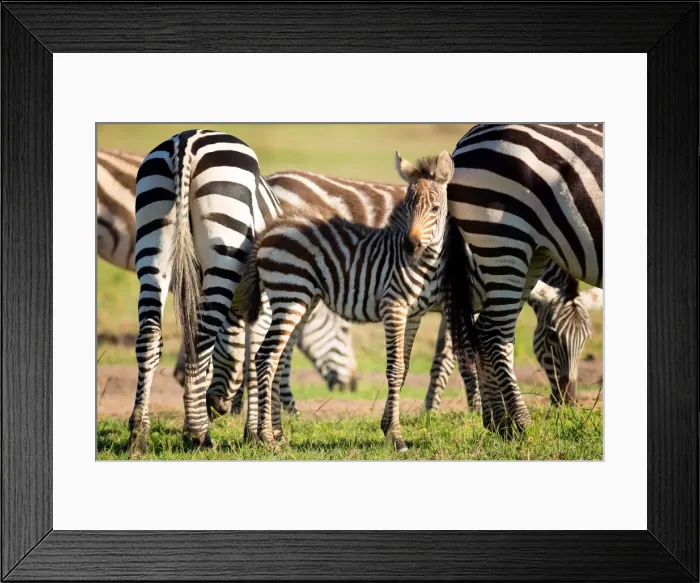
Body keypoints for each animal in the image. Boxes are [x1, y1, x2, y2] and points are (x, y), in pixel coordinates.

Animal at [128, 129, 285, 454]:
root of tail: (186, 141)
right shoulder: (261, 303)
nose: (217, 407)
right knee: (201, 338)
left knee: (150, 338)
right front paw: (258, 434)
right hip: (224, 239)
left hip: (153, 243)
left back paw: (138, 435)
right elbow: (254, 358)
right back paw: (199, 435)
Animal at [236, 150, 477, 451]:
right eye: (407, 208)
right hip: (289, 295)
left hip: (303, 300)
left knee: (278, 359)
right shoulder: (393, 307)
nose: (410, 247)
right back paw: (266, 437)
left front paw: (388, 427)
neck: (426, 265)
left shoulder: (414, 314)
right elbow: (395, 368)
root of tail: (269, 231)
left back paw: (277, 434)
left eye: (434, 209)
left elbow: (406, 368)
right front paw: (396, 436)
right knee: (265, 356)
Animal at [446, 123, 603, 437]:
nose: (569, 402)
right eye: (552, 336)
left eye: (585, 340)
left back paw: (498, 423)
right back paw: (520, 423)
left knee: (487, 331)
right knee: (493, 333)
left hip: (529, 253)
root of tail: (467, 136)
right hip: (504, 237)